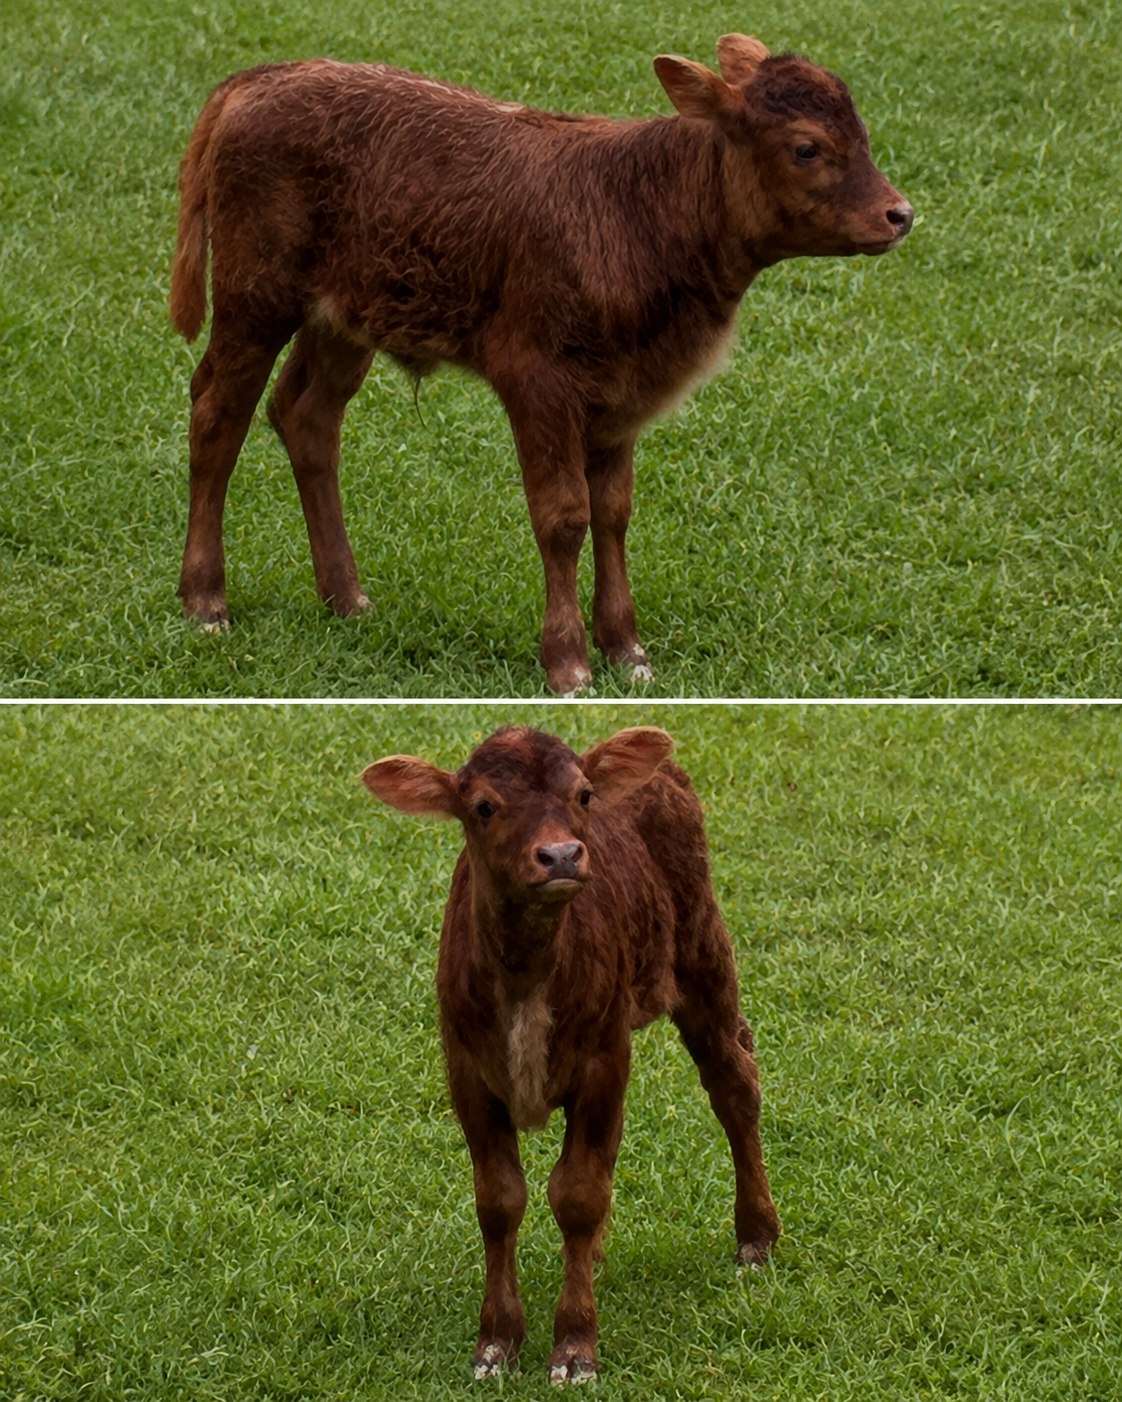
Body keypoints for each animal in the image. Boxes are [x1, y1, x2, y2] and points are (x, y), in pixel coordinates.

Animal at [171, 36, 913, 693]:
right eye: (806, 147)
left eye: (862, 133)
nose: (900, 213)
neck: (639, 216)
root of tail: (263, 77)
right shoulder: (537, 379)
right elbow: (562, 515)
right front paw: (569, 663)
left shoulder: (622, 396)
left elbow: (613, 512)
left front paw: (628, 651)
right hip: (255, 294)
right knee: (218, 414)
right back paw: (206, 602)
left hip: (343, 315)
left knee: (306, 416)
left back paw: (347, 597)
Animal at [361, 725, 781, 1384]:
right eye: (483, 807)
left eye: (583, 795)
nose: (560, 855)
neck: (526, 974)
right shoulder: (465, 1069)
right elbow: (499, 1199)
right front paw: (496, 1343)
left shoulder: (604, 1059)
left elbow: (578, 1194)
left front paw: (576, 1346)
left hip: (702, 948)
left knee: (735, 1083)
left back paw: (757, 1235)